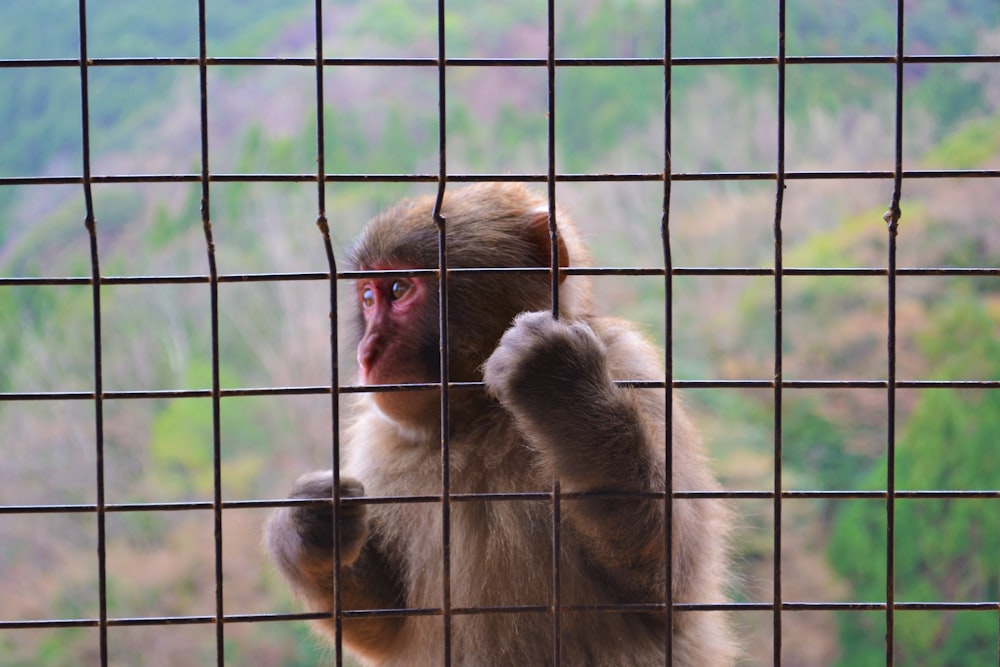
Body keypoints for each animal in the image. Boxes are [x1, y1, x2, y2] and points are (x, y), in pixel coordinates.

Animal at [266, 183, 736, 667]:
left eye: (397, 289)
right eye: (367, 298)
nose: (367, 353)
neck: (476, 419)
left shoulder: (630, 366)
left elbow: (669, 580)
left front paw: (561, 386)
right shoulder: (381, 440)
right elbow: (384, 623)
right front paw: (308, 528)